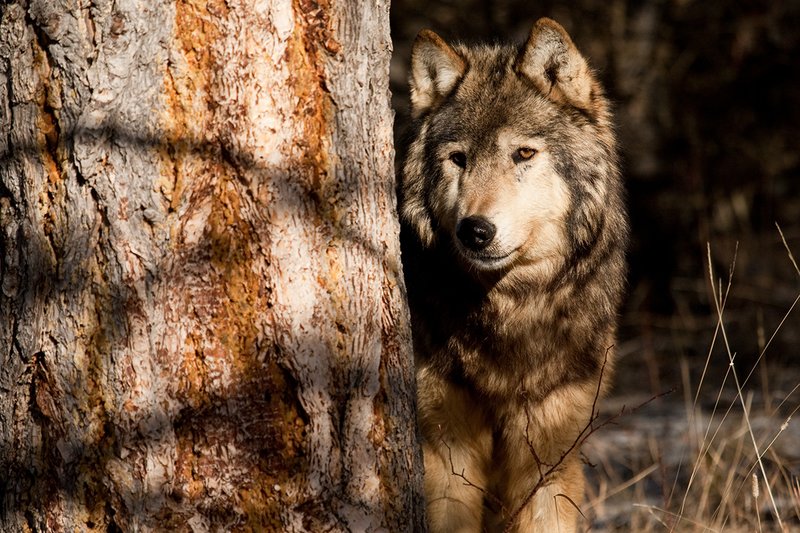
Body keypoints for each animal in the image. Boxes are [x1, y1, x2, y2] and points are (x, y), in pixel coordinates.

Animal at [399, 18, 628, 532]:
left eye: (523, 153)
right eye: (458, 159)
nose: (474, 231)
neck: (512, 312)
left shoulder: (551, 456)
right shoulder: (446, 454)